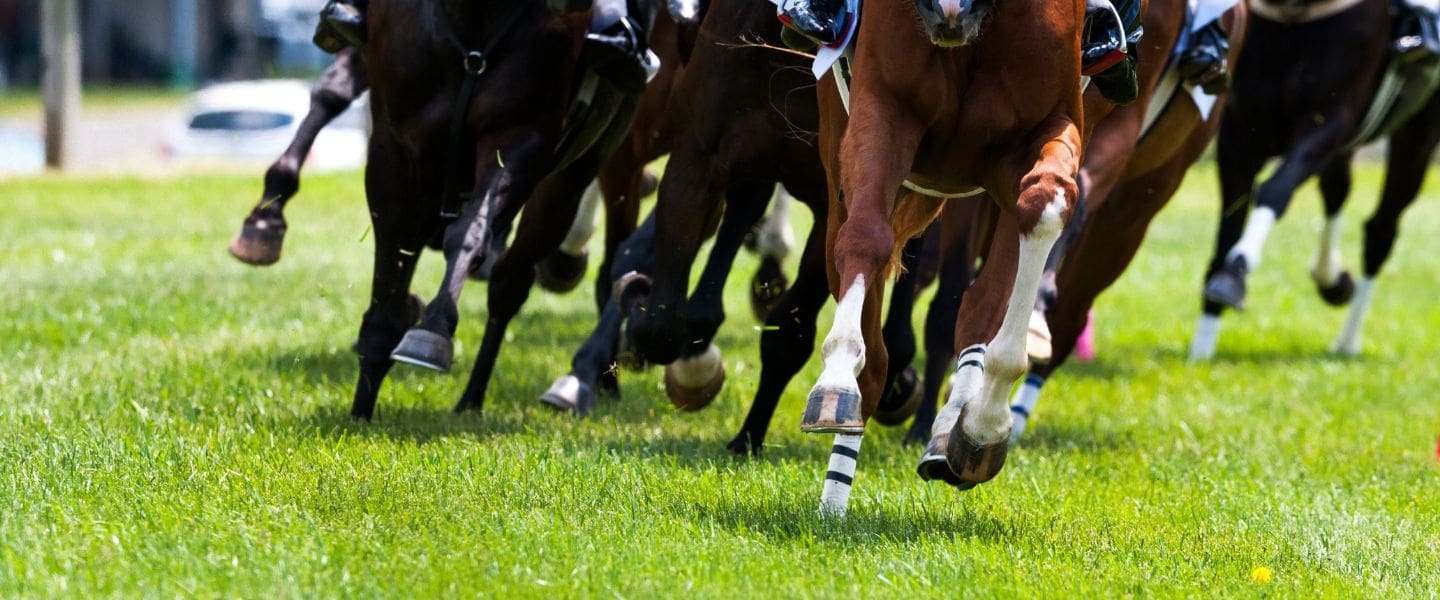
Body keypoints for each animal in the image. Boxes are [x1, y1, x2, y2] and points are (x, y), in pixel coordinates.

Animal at [350, 0, 654, 419]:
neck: (474, 16)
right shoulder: (392, 150)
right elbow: (393, 266)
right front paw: (362, 403)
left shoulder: (520, 140)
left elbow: (470, 233)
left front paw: (431, 331)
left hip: (573, 175)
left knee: (510, 282)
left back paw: (472, 398)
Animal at [799, 0, 1087, 514]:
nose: (950, 10)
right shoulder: (884, 105)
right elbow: (866, 236)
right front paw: (836, 377)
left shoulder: (1051, 121)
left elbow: (1045, 204)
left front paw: (984, 423)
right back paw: (835, 492)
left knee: (980, 300)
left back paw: (955, 425)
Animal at [1191, 0, 1439, 360]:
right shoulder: (1240, 131)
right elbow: (1230, 223)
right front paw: (1203, 343)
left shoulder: (1328, 122)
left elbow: (1275, 189)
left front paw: (1235, 272)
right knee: (1337, 191)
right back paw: (1332, 280)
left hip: (1417, 134)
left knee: (1381, 230)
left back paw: (1347, 341)